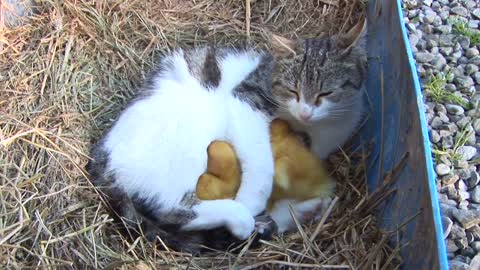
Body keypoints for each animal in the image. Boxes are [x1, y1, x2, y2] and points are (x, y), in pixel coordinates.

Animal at [86, 47, 278, 253]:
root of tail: (101, 160)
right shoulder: (246, 103)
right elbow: (261, 160)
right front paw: (251, 202)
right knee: (170, 212)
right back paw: (241, 219)